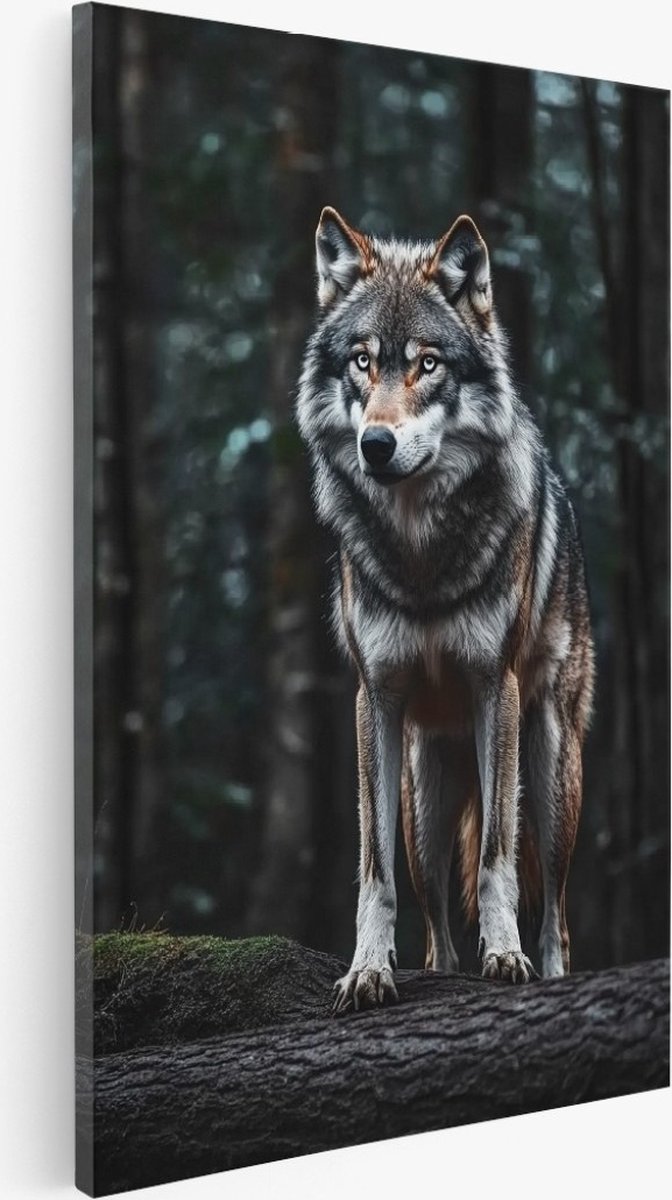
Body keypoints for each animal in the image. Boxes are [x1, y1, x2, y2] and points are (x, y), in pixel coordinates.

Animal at [296, 207, 594, 1014]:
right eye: (362, 362)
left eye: (428, 364)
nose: (376, 443)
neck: (420, 553)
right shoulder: (375, 699)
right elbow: (374, 873)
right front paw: (367, 970)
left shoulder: (497, 689)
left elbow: (495, 858)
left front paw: (507, 957)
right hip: (422, 799)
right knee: (433, 917)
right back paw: (441, 971)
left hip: (550, 770)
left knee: (556, 907)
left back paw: (549, 970)